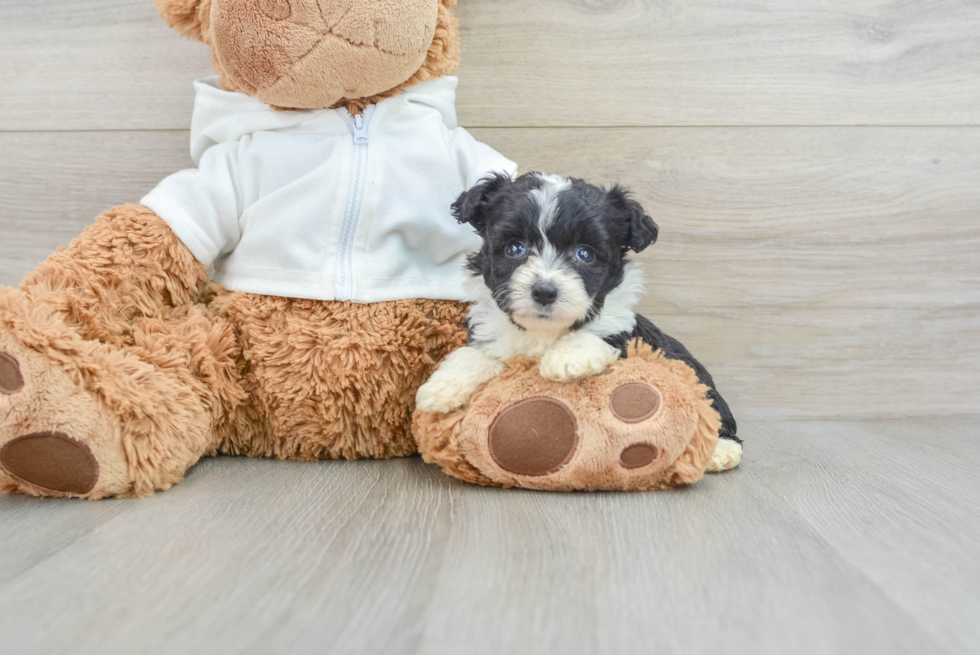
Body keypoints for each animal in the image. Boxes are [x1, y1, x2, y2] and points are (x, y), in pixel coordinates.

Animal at [416, 173, 744, 472]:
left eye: (584, 254)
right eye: (515, 248)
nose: (544, 291)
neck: (544, 332)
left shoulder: (628, 335)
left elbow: (602, 335)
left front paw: (566, 358)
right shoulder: (492, 336)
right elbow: (472, 353)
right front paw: (441, 387)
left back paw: (720, 452)